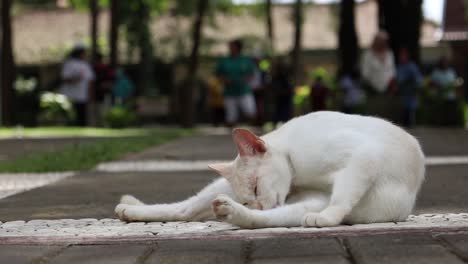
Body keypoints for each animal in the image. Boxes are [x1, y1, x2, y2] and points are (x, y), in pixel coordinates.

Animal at [115, 111, 426, 229]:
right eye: (248, 196)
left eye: (255, 187)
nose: (255, 204)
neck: (299, 177)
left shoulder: (364, 157)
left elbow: (341, 198)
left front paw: (327, 219)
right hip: (220, 188)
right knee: (185, 209)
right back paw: (130, 209)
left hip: (307, 205)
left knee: (258, 221)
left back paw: (230, 213)